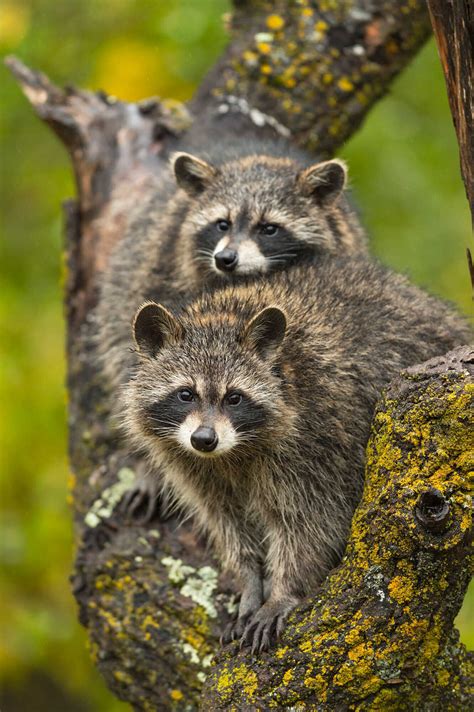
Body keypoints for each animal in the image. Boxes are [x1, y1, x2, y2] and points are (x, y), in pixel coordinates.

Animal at [119, 254, 470, 652]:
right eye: (185, 394)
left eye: (234, 398)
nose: (204, 439)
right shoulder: (193, 465)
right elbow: (228, 523)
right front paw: (248, 581)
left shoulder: (319, 439)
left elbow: (310, 524)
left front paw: (283, 591)